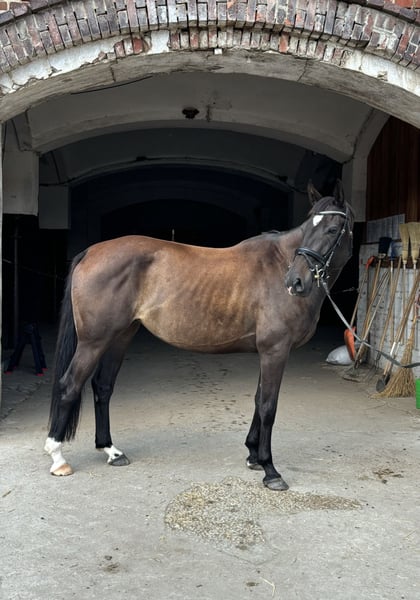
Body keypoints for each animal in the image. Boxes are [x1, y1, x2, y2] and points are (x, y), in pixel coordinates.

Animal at [44, 180, 353, 491]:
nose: (295, 282)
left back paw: (111, 451)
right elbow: (268, 406)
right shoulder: (275, 350)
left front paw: (253, 456)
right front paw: (270, 470)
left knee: (103, 387)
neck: (277, 265)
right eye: (309, 226)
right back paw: (58, 457)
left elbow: (258, 399)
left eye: (332, 229)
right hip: (93, 342)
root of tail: (90, 252)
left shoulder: (268, 352)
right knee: (70, 386)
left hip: (119, 336)